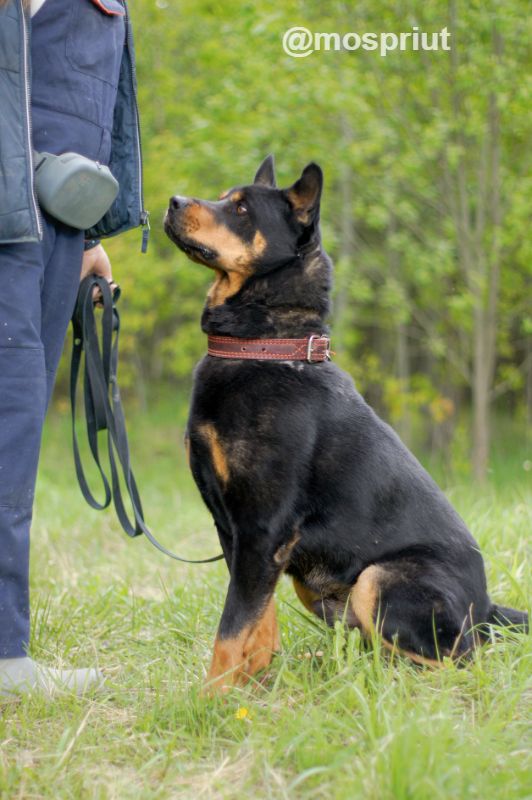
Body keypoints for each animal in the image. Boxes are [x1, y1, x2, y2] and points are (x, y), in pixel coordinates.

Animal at [164, 158, 528, 692]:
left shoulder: (261, 529)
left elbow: (231, 629)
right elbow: (259, 623)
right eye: (224, 196)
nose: (171, 202)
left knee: (456, 660)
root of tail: (486, 609)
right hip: (322, 584)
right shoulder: (237, 533)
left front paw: (212, 698)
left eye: (242, 209)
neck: (267, 347)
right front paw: (253, 684)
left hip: (378, 580)